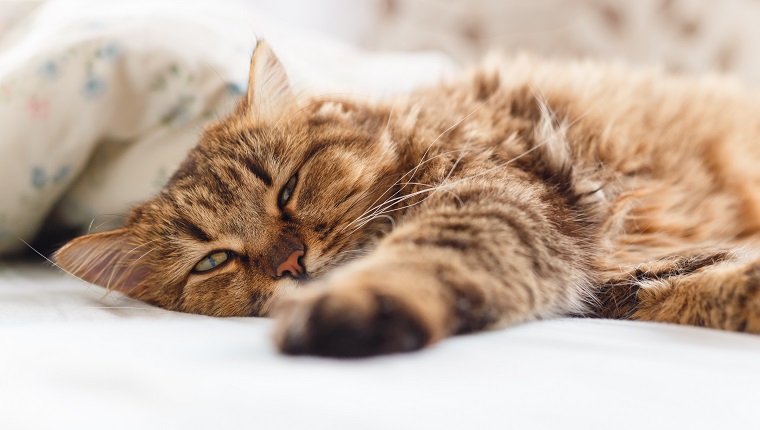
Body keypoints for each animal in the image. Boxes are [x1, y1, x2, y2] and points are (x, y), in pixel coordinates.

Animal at [55, 41, 760, 356]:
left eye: (288, 188)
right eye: (212, 261)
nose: (291, 263)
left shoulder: (496, 196)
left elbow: (420, 257)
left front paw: (356, 303)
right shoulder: (622, 274)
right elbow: (702, 291)